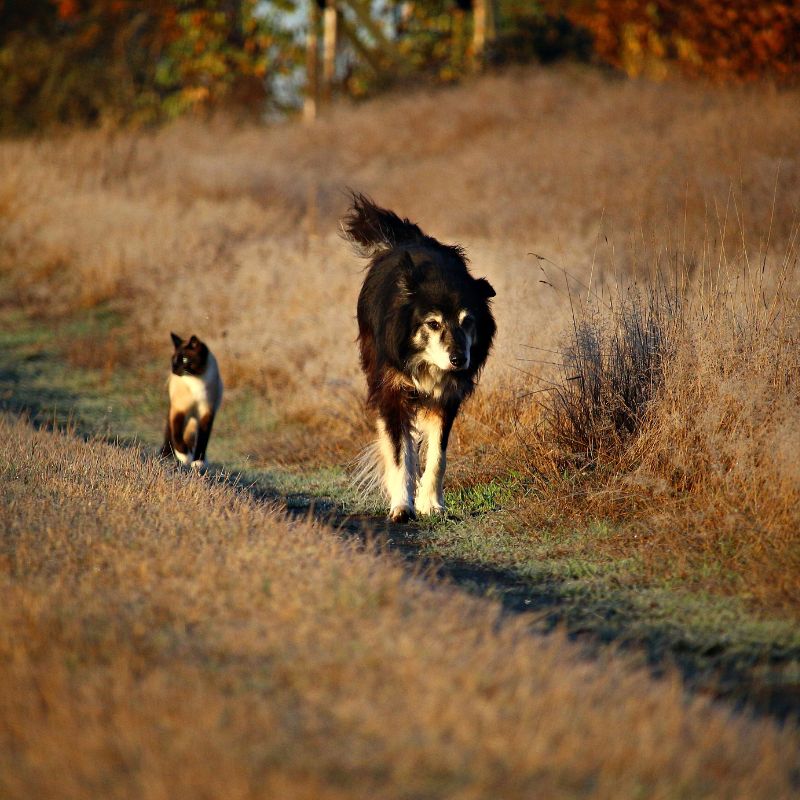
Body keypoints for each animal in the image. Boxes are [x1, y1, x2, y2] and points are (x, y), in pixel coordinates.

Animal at [160, 332, 222, 468]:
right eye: (173, 360)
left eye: (185, 359)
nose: (174, 370)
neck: (196, 380)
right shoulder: (179, 410)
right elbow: (177, 436)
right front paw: (185, 457)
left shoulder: (206, 412)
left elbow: (203, 439)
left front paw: (198, 461)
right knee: (170, 433)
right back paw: (166, 456)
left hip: (194, 421)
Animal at [344, 191, 494, 520]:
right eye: (433, 323)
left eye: (468, 321)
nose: (459, 360)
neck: (425, 362)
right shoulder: (392, 389)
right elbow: (400, 453)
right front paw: (402, 507)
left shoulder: (446, 397)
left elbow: (438, 454)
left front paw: (432, 505)